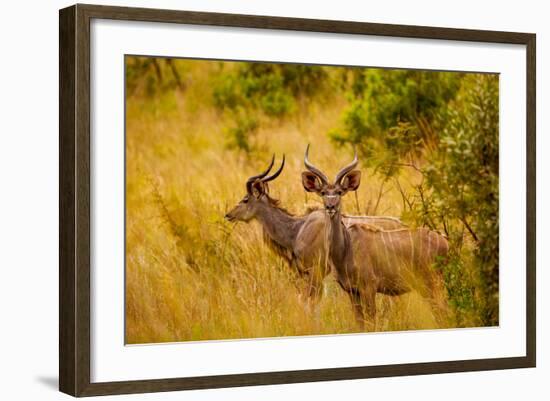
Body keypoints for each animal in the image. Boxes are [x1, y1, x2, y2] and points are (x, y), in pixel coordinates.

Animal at [304, 147, 450, 328]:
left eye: (339, 192)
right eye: (323, 192)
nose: (330, 206)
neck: (346, 250)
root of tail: (446, 243)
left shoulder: (369, 288)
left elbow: (371, 321)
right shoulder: (353, 291)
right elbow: (360, 322)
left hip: (433, 284)